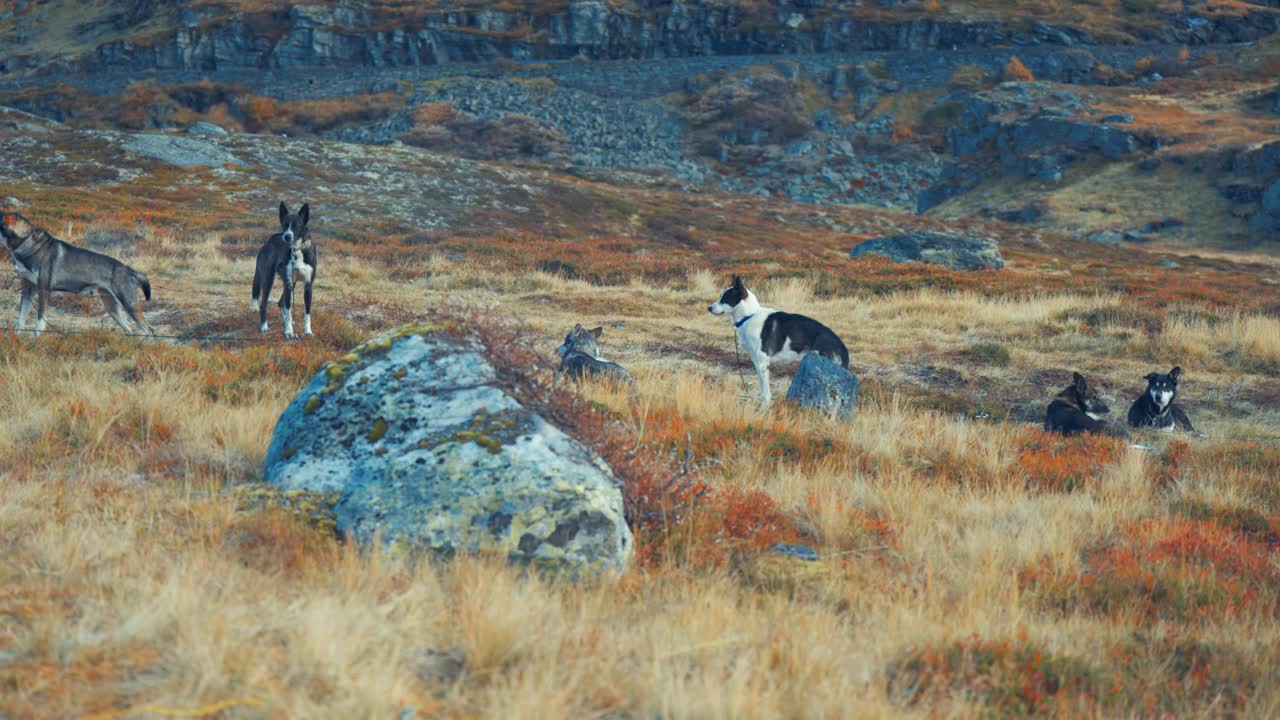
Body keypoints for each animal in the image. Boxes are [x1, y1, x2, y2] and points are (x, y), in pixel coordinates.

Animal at [1, 208, 154, 335]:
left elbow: (39, 323)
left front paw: (35, 340)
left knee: (148, 330)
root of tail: (129, 270)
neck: (25, 242)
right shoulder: (27, 289)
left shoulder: (44, 290)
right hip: (112, 309)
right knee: (129, 329)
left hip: (129, 305)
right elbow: (20, 321)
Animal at [250, 202, 316, 335]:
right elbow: (289, 310)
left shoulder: (307, 286)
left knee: (280, 302)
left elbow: (307, 313)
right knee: (264, 304)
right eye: (285, 225)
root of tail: (268, 241)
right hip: (269, 279)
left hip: (289, 283)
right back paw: (264, 327)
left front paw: (307, 331)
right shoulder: (289, 284)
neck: (296, 250)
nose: (286, 236)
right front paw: (289, 331)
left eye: (296, 225)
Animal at [711, 274, 849, 407]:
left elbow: (765, 394)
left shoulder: (762, 364)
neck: (749, 316)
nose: (709, 308)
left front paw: (763, 408)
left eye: (725, 298)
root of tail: (841, 344)